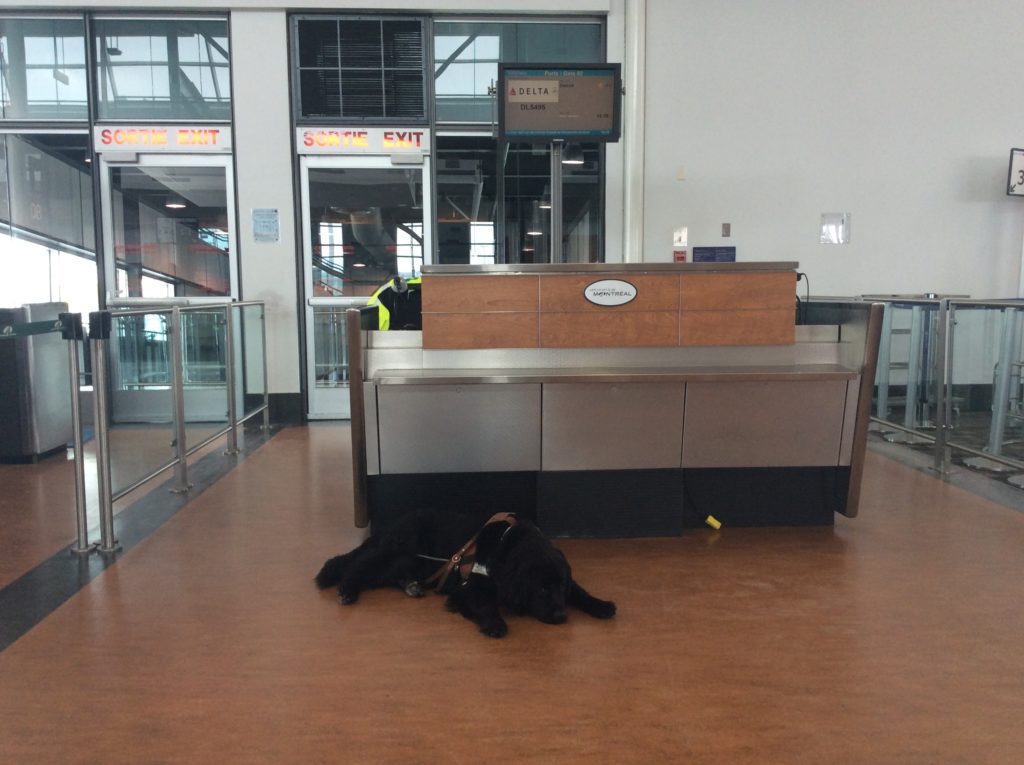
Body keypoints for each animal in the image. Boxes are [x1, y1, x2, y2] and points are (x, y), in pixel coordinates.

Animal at [311, 507, 614, 639]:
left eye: (560, 586)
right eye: (540, 589)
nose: (561, 616)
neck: (507, 545)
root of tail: (391, 525)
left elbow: (580, 591)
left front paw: (601, 605)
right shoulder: (469, 588)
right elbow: (484, 604)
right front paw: (495, 623)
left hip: (413, 561)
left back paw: (411, 585)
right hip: (399, 549)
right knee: (359, 566)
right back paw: (347, 589)